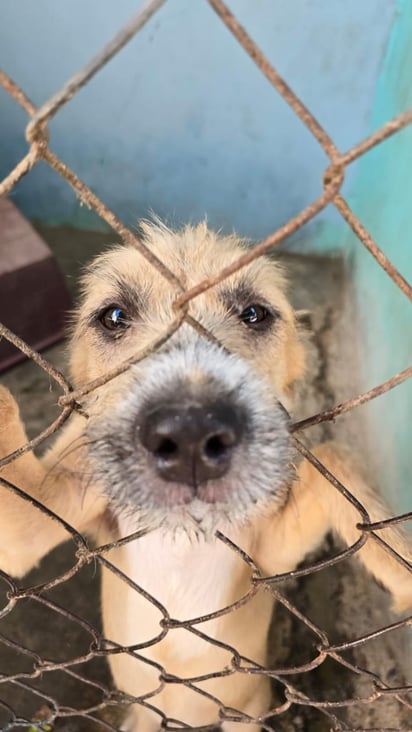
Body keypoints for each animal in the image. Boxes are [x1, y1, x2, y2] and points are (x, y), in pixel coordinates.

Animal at [0, 223, 410, 732]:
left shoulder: (270, 556)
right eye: (113, 316)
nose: (190, 435)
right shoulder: (29, 528)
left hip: (245, 713)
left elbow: (334, 454)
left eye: (254, 314)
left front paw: (398, 566)